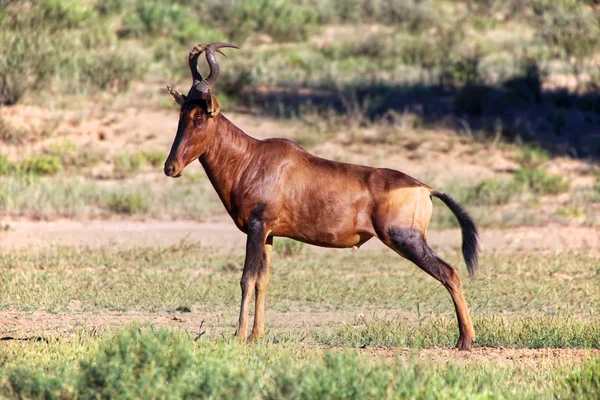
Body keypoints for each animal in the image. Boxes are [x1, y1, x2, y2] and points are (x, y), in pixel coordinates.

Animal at [162, 43, 480, 350]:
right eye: (181, 115)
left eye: (200, 116)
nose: (170, 167)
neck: (252, 158)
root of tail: (425, 188)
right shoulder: (268, 234)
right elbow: (263, 281)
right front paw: (255, 336)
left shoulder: (256, 227)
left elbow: (246, 279)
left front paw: (239, 336)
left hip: (406, 239)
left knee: (450, 272)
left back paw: (465, 340)